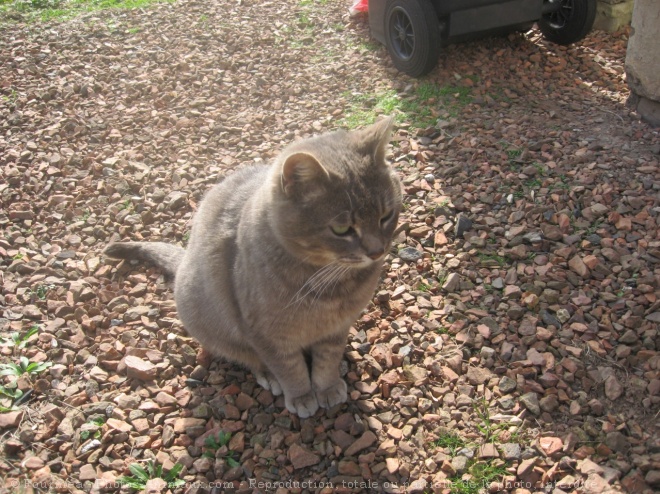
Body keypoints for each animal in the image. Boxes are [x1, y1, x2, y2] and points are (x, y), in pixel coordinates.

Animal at [104, 116, 402, 416]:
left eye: (386, 215)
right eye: (342, 229)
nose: (377, 251)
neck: (328, 281)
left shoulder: (336, 328)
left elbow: (327, 360)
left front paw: (327, 387)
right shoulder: (265, 333)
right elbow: (289, 368)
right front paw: (302, 396)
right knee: (249, 357)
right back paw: (269, 376)